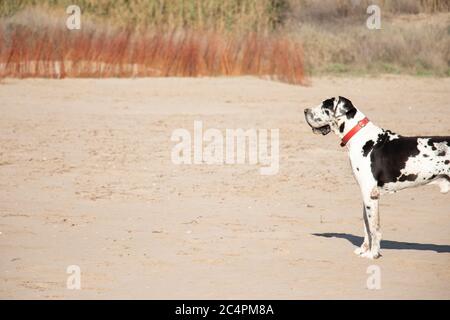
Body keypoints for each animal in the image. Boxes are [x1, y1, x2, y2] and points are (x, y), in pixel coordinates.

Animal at [304, 96, 448, 258]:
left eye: (325, 107)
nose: (305, 111)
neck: (361, 138)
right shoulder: (365, 193)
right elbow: (366, 225)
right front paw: (363, 249)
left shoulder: (369, 193)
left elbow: (374, 228)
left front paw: (373, 254)